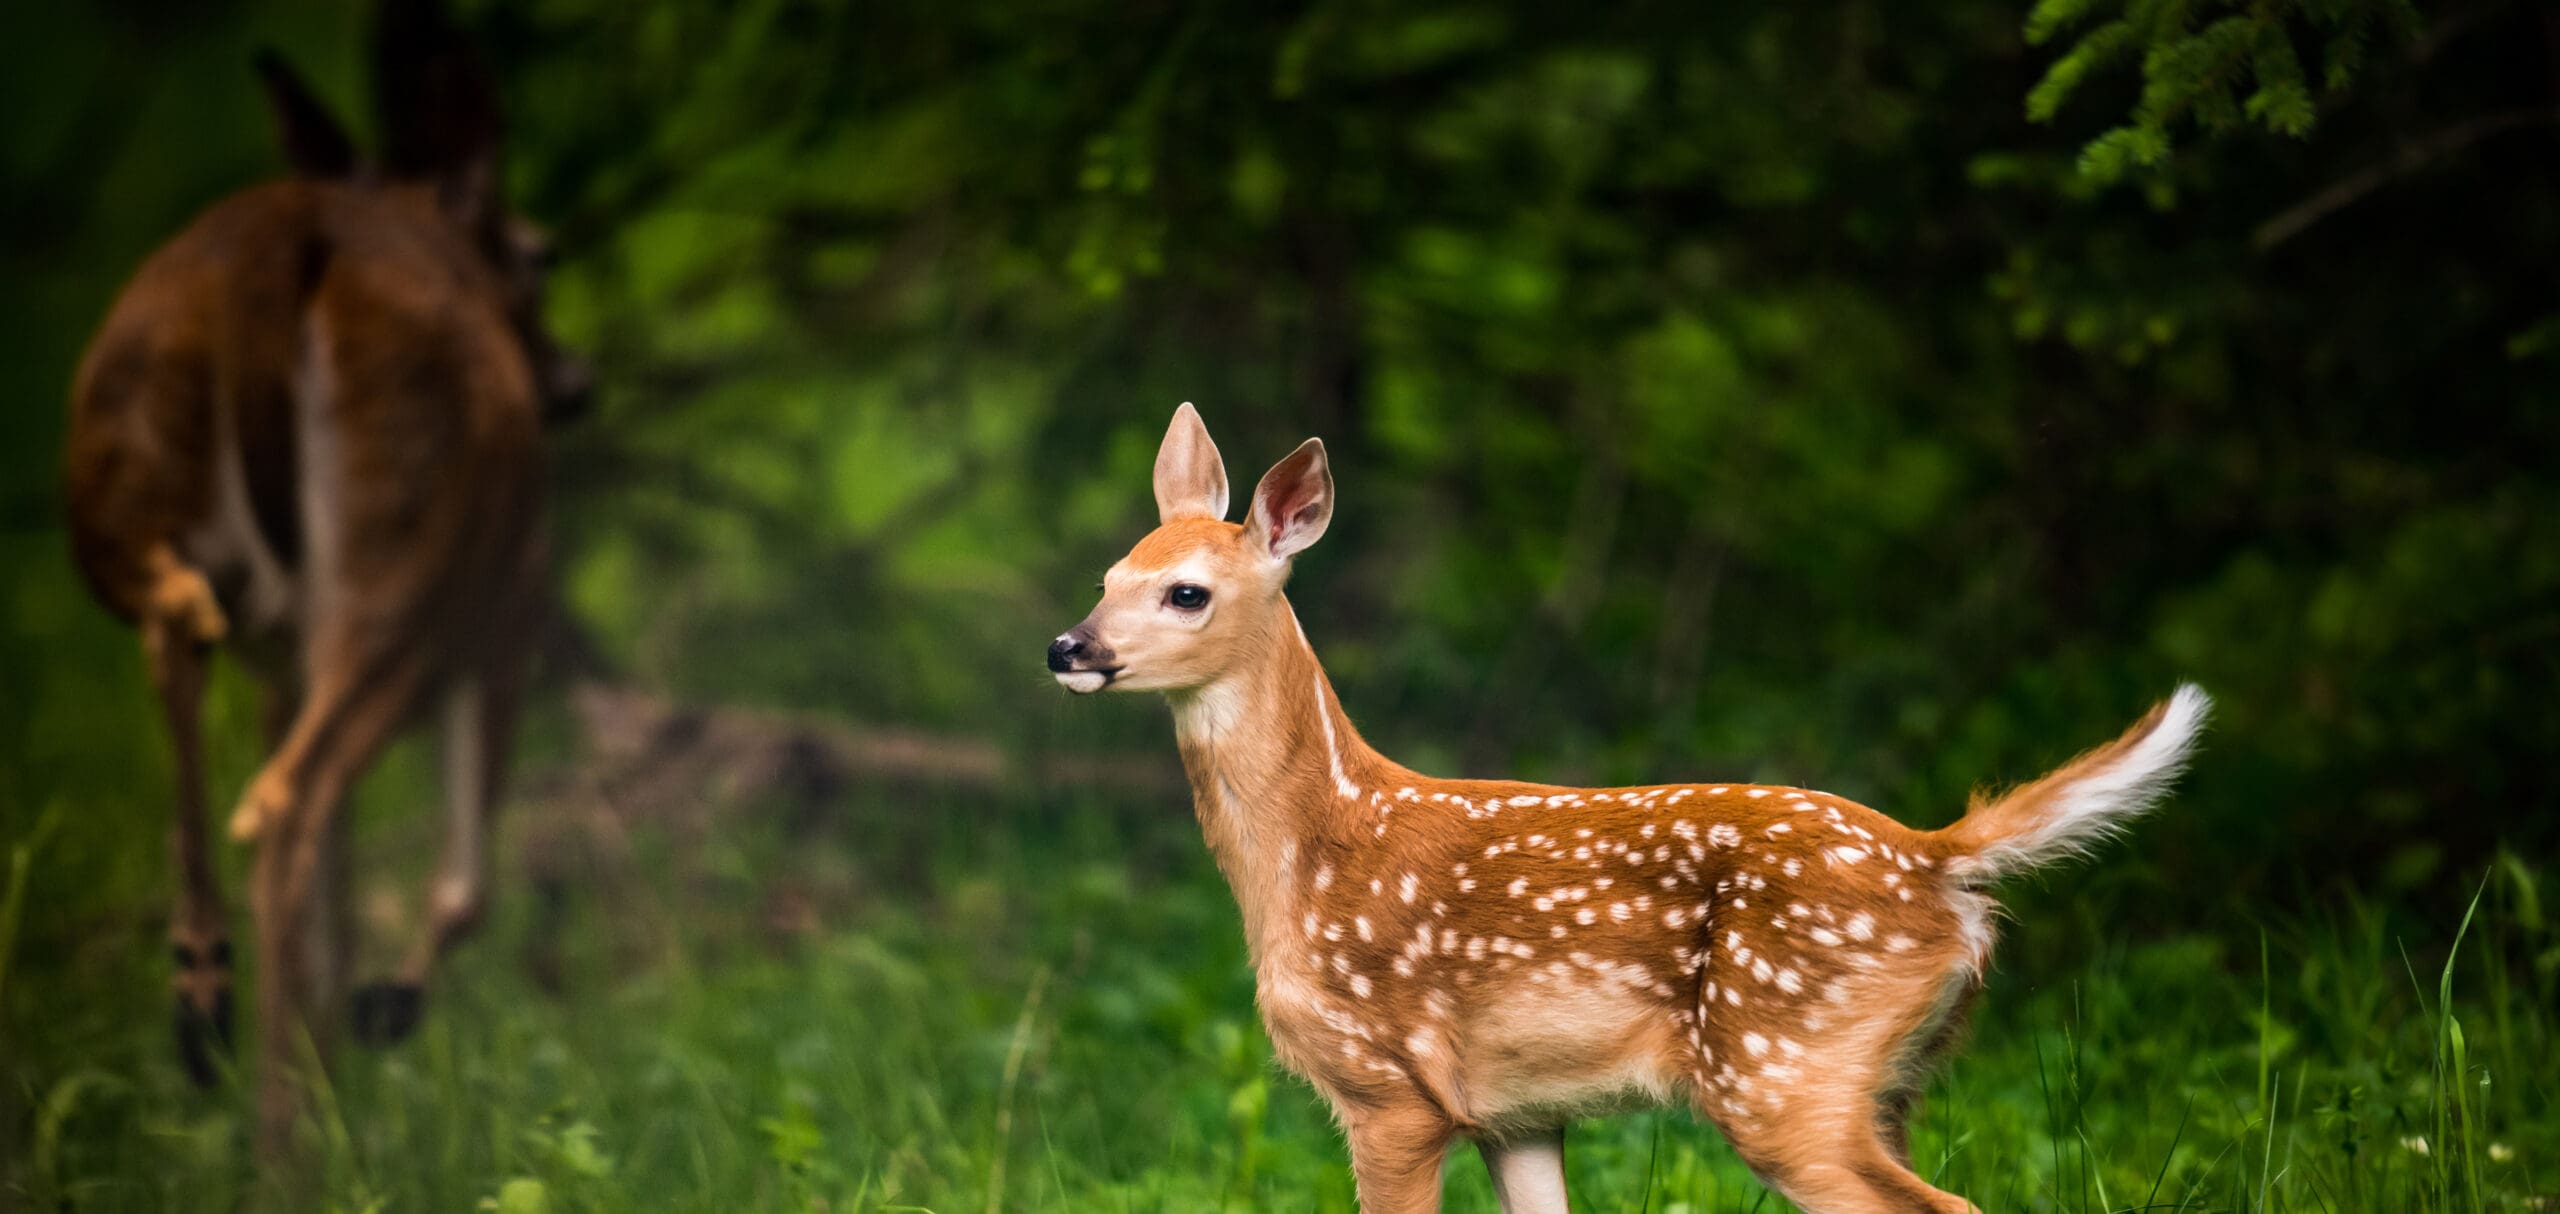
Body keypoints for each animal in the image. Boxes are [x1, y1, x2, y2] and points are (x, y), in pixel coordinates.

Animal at [61, 0, 584, 1160]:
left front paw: (336, 1053)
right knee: (289, 808)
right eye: (538, 251)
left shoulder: (282, 665)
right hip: (412, 555)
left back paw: (209, 1017)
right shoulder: (510, 610)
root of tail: (283, 252)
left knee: (186, 648)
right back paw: (288, 1137)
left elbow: (344, 901)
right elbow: (465, 881)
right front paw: (383, 1012)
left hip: (118, 494)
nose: (577, 380)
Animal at [1048, 404, 2210, 1213]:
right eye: (1107, 575)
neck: (1310, 846)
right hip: (1890, 1079)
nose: (1068, 646)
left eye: (1187, 592)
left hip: (1784, 1065)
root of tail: (1938, 855)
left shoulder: (1390, 1090)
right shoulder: (1516, 1110)